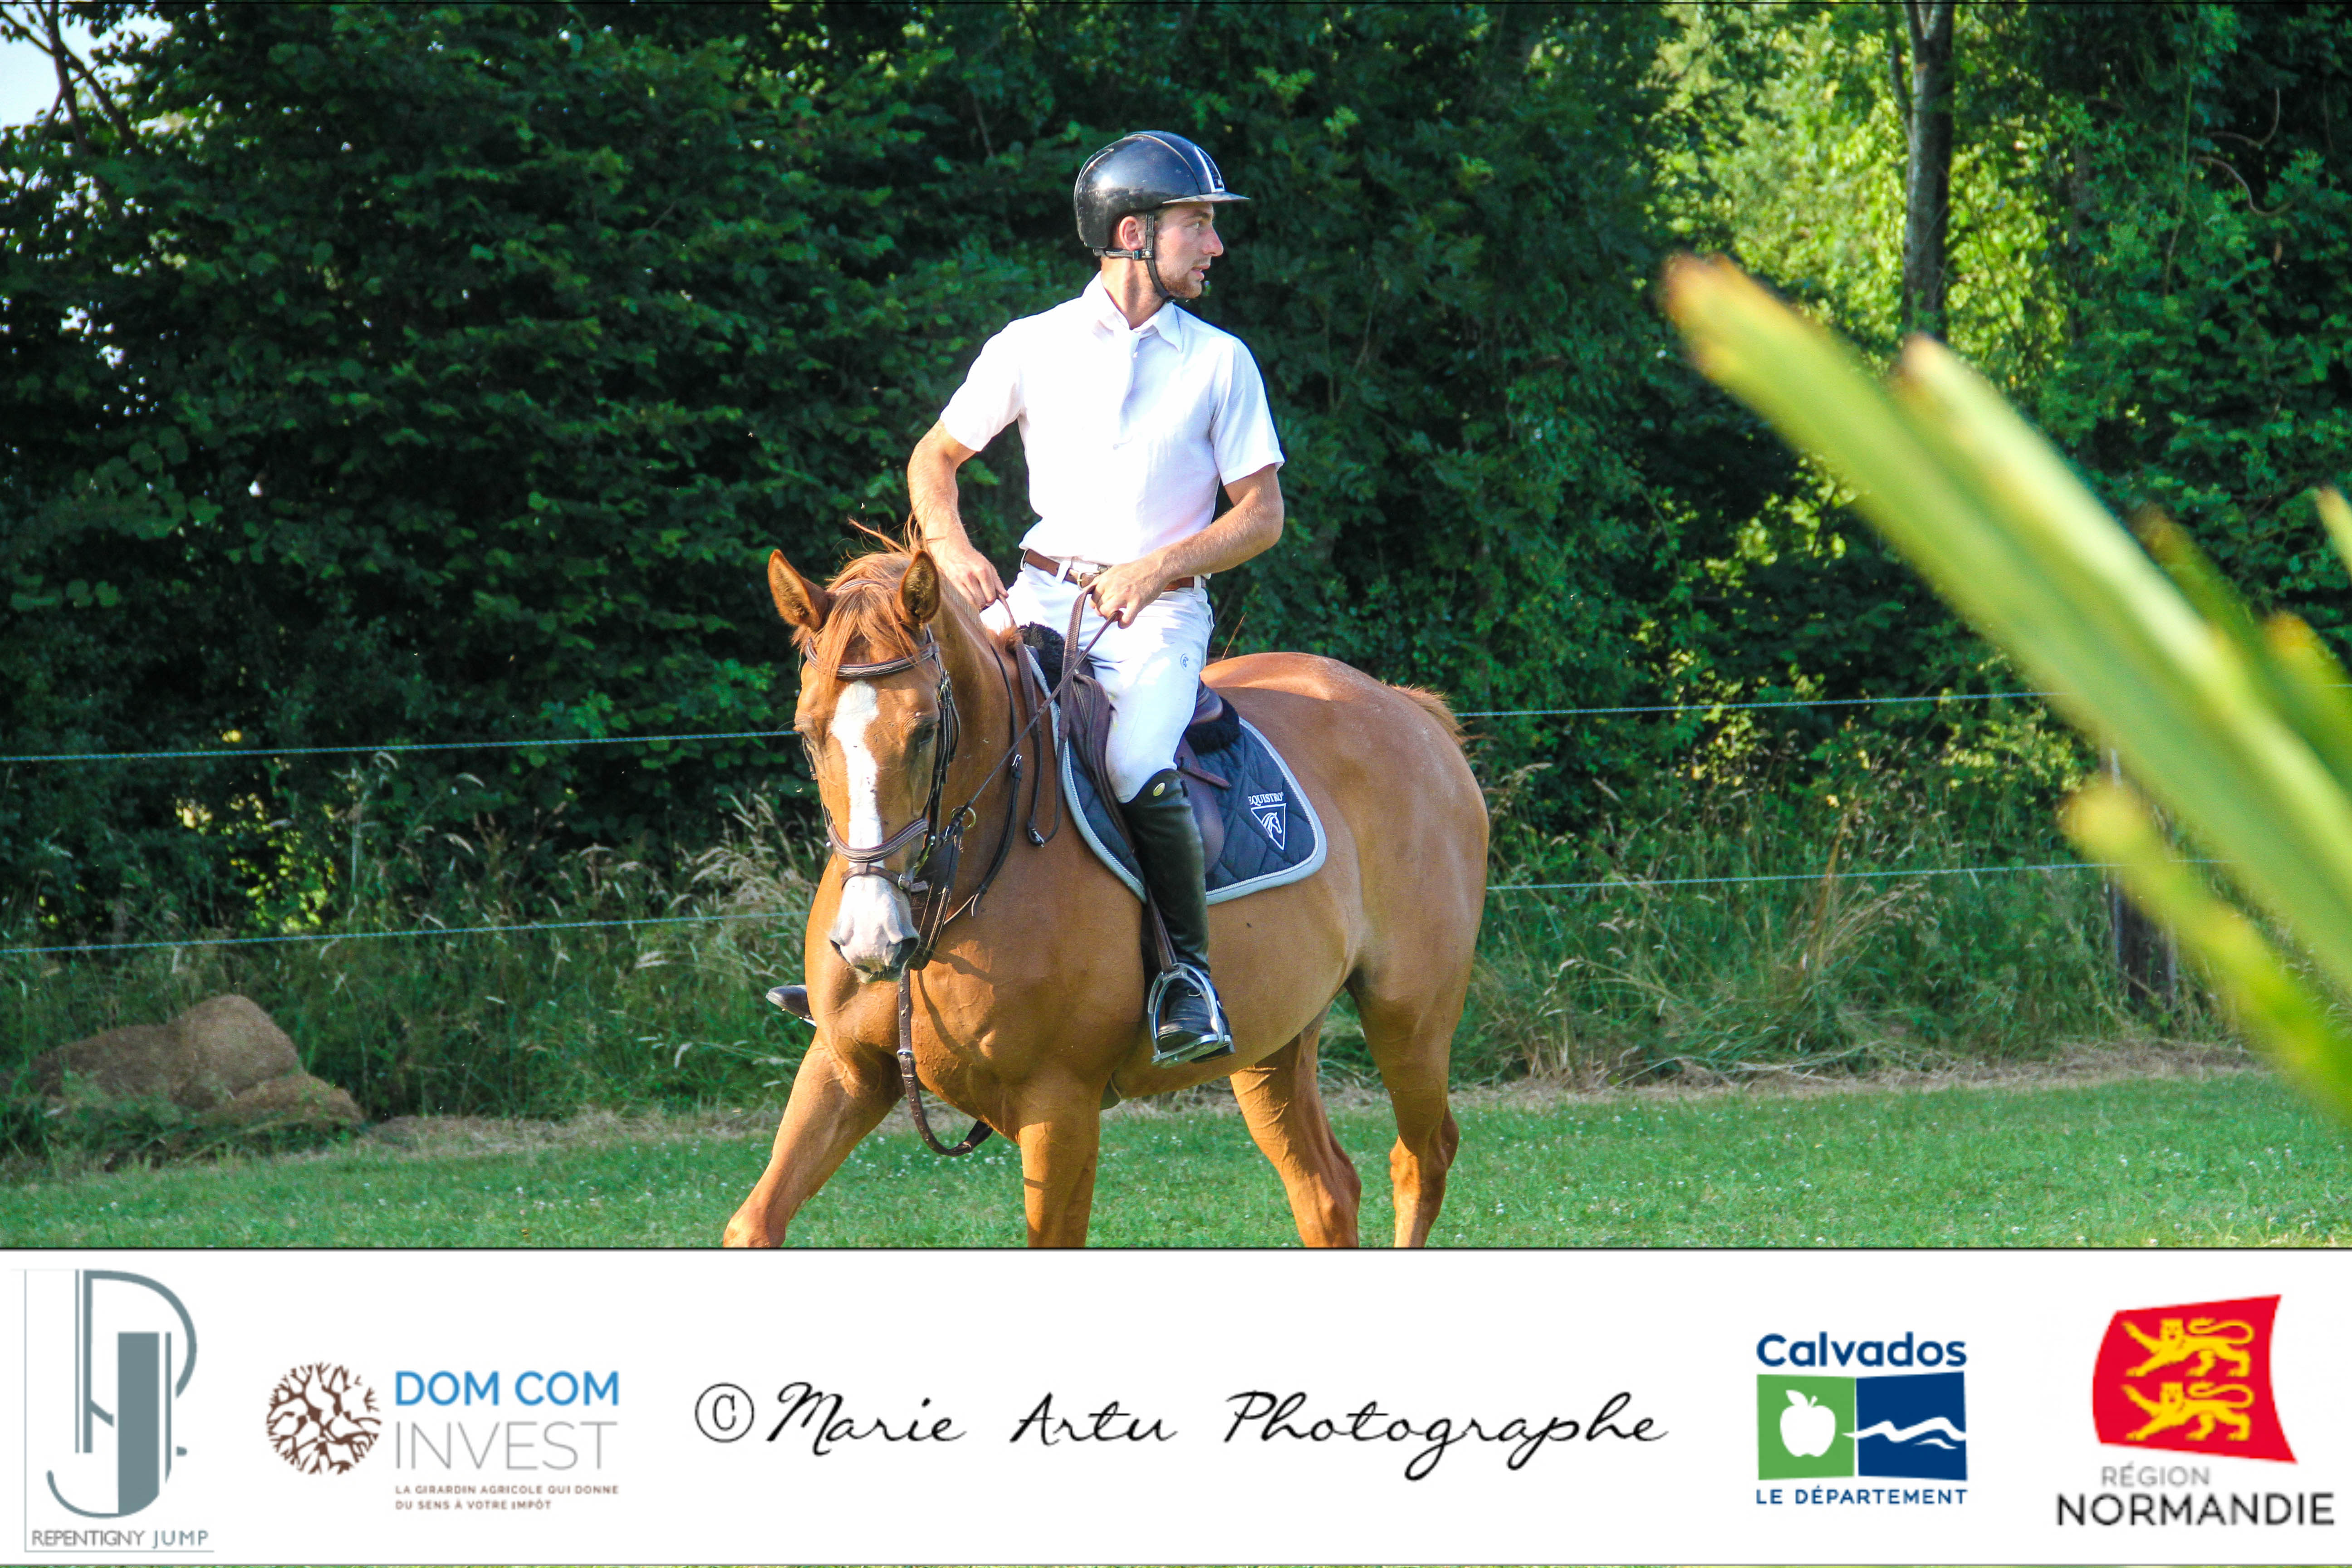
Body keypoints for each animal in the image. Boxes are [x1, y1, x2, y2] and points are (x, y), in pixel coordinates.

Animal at [722, 541, 1488, 1247]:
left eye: (925, 730)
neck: (948, 890)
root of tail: (1408, 709)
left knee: (1422, 1158)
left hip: (1409, 1020)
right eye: (808, 732)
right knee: (1329, 1191)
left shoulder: (1058, 1105)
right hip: (1275, 1042)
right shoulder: (846, 1069)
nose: (872, 941)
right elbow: (752, 1225)